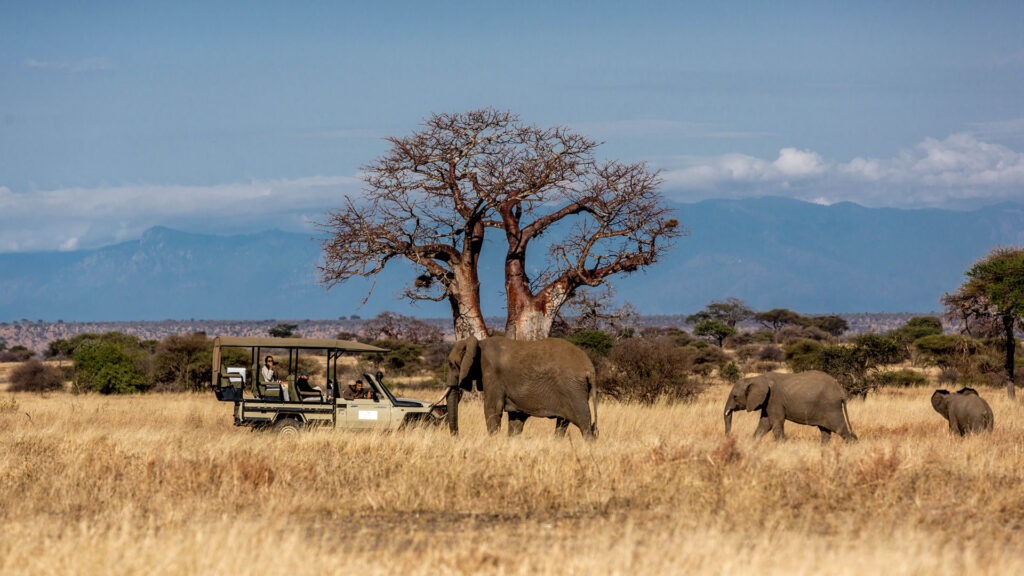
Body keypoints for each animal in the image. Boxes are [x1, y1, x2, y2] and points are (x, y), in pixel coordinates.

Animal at [444, 334, 598, 436]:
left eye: (451, 364)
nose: (456, 437)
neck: (479, 343)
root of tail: (590, 368)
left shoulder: (493, 375)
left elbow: (492, 409)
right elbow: (516, 417)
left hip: (573, 389)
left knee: (584, 423)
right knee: (563, 423)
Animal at [724, 368, 860, 440]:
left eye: (735, 396)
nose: (729, 437)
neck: (758, 378)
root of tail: (840, 390)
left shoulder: (774, 399)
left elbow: (776, 422)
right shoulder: (767, 402)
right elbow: (764, 424)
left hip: (831, 407)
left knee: (841, 430)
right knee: (825, 431)